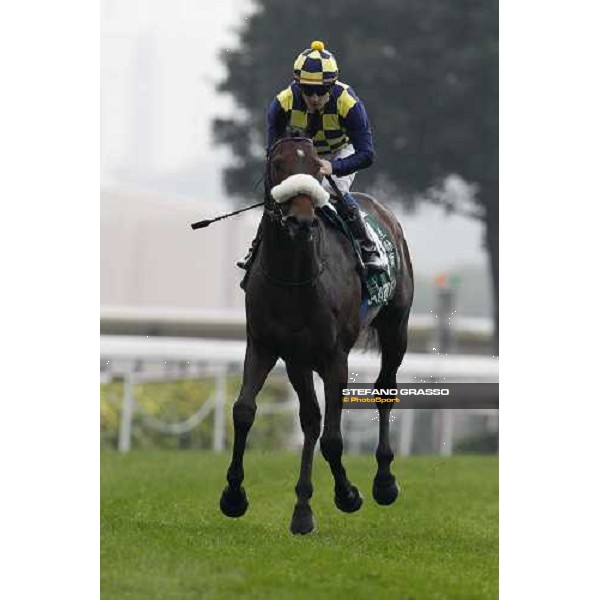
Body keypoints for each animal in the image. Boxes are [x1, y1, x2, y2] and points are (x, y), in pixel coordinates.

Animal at [219, 137, 412, 536]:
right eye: (277, 164)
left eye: (315, 169)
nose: (301, 220)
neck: (294, 278)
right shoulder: (267, 345)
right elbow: (244, 411)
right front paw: (233, 496)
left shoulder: (334, 357)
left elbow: (334, 439)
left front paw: (348, 494)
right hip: (299, 360)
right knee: (310, 419)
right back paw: (302, 508)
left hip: (395, 327)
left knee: (384, 390)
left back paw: (384, 481)